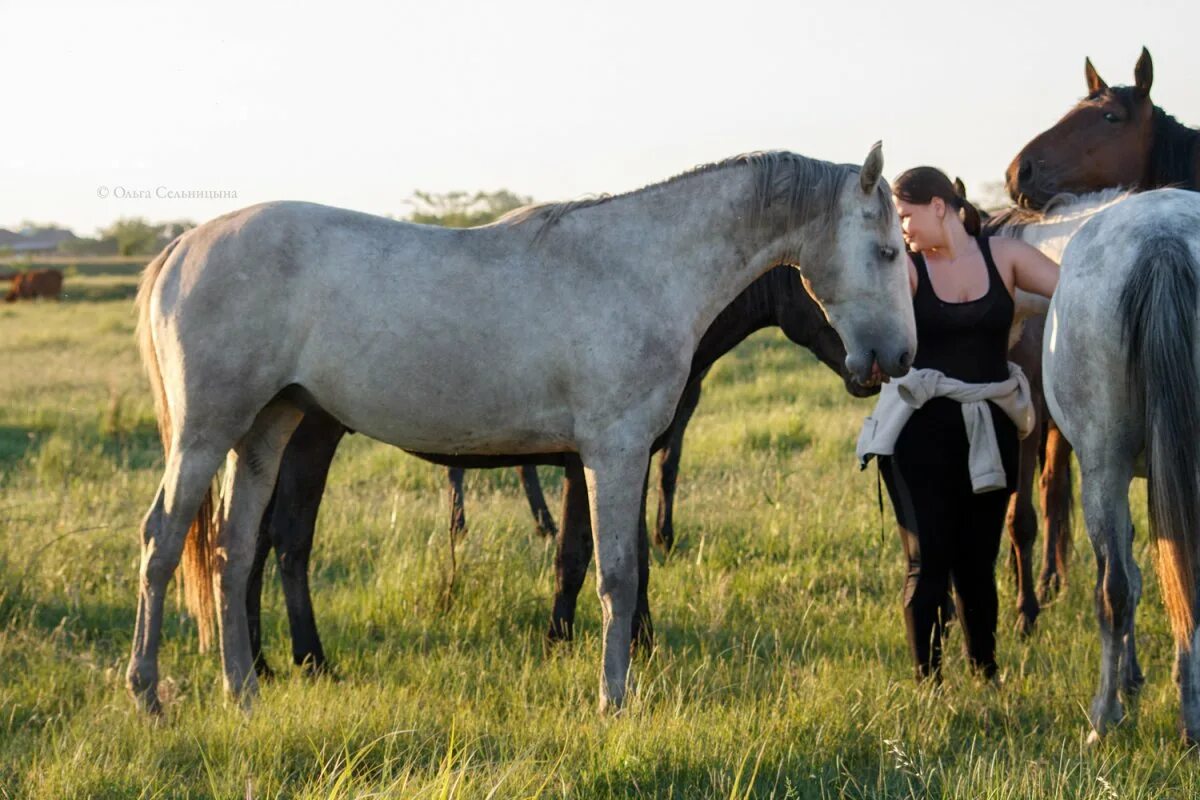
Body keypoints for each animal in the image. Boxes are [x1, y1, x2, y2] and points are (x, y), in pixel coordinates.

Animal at [126, 146, 912, 714]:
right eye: (888, 252)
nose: (899, 359)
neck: (642, 267)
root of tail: (182, 245)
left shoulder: (611, 458)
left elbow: (606, 565)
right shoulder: (612, 452)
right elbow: (614, 573)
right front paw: (613, 699)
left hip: (266, 432)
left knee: (232, 552)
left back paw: (244, 691)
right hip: (207, 435)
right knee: (164, 542)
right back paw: (150, 694)